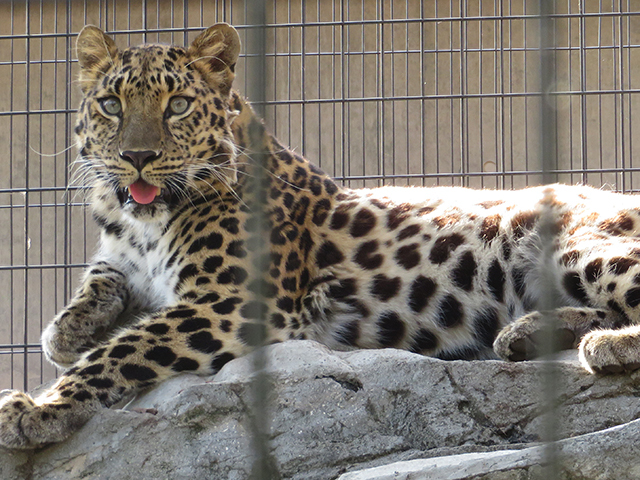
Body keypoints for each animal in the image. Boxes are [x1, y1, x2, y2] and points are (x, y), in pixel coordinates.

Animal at [1, 22, 640, 450]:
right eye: (112, 104)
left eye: (177, 104)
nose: (136, 157)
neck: (142, 222)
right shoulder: (124, 262)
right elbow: (95, 288)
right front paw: (66, 334)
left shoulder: (233, 303)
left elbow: (125, 348)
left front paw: (38, 407)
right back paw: (527, 335)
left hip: (577, 244)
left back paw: (604, 345)